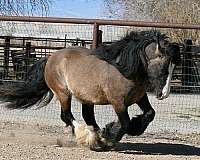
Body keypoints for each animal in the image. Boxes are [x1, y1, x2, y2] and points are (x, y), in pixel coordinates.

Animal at [0, 30, 181, 151]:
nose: (164, 94)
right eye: (164, 68)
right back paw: (90, 138)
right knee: (67, 116)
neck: (123, 69)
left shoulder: (139, 97)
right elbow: (125, 123)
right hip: (63, 93)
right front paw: (109, 136)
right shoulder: (118, 102)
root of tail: (50, 57)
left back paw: (96, 137)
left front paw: (119, 130)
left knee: (86, 116)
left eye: (174, 67)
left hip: (86, 98)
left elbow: (150, 114)